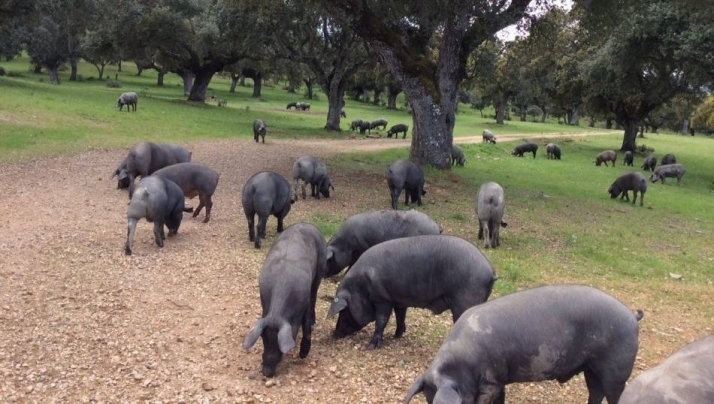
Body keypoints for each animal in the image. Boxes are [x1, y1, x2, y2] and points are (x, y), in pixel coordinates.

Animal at [242, 223, 326, 378]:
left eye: (278, 342)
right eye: (263, 338)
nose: (267, 372)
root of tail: (305, 224)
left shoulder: (304, 301)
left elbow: (306, 325)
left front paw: (303, 355)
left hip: (320, 269)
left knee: (314, 296)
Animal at [327, 235, 497, 349]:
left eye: (344, 310)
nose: (334, 334)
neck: (360, 285)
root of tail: (490, 271)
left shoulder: (382, 298)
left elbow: (381, 320)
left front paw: (370, 347)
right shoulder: (397, 299)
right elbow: (400, 316)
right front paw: (396, 336)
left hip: (466, 301)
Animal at [404, 284, 644, 404]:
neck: (461, 363)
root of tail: (632, 318)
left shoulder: (490, 382)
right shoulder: (498, 379)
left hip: (616, 370)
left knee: (614, 394)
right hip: (591, 369)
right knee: (595, 393)